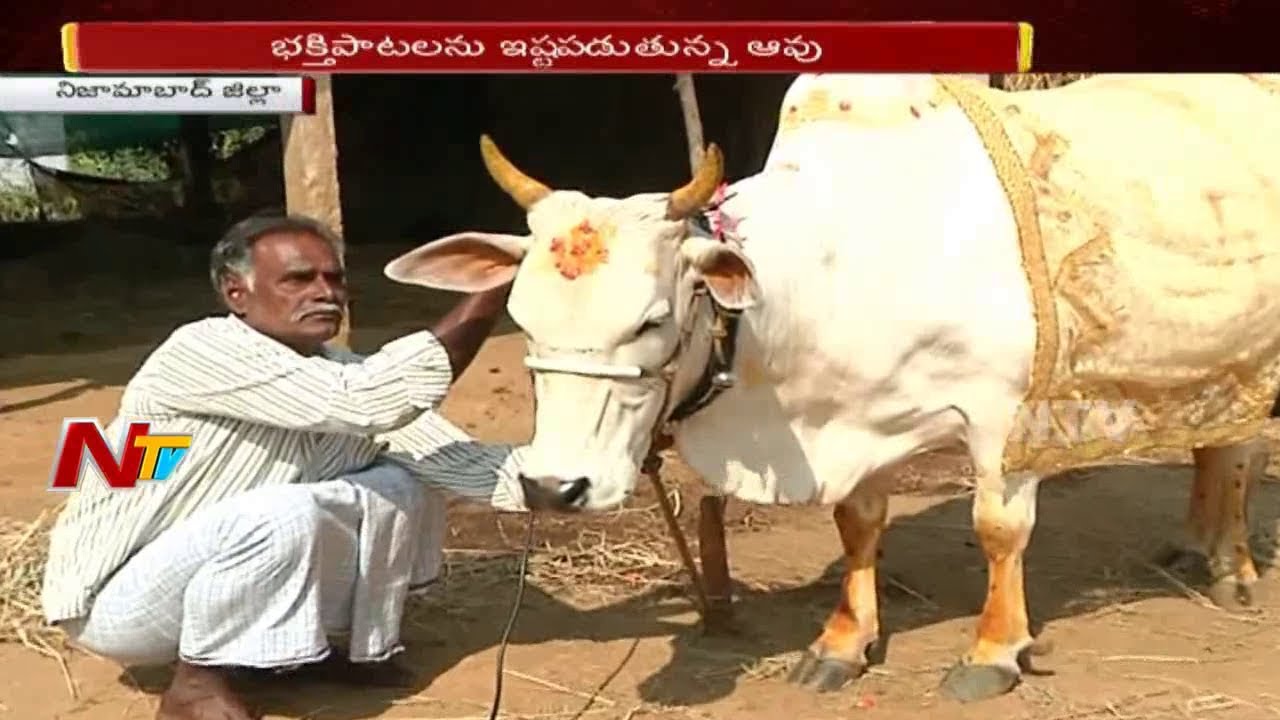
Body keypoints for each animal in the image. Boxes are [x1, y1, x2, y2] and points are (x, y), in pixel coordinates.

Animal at [389, 74, 1280, 702]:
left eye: (649, 321)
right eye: (521, 318)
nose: (552, 487)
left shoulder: (1006, 419)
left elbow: (998, 531)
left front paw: (993, 651)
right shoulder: (858, 420)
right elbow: (858, 525)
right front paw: (842, 644)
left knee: (1241, 450)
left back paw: (1232, 566)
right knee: (1216, 441)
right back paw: (1196, 544)